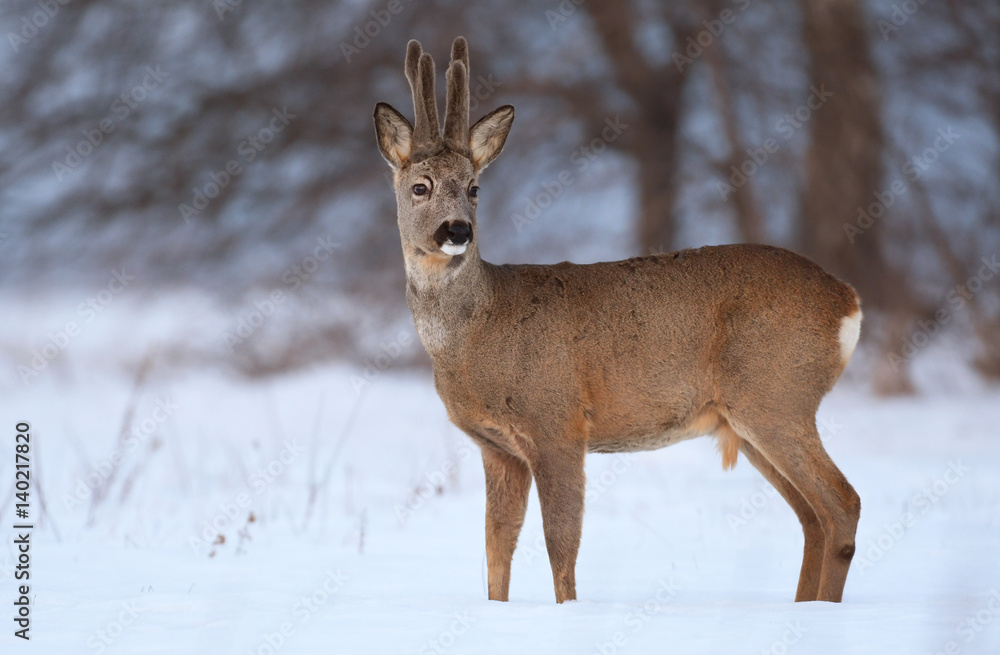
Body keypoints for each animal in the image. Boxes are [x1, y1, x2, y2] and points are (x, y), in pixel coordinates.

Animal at [373, 37, 862, 605]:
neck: (477, 332)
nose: (457, 231)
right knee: (812, 515)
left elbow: (561, 541)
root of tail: (848, 299)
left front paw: (569, 613)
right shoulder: (498, 448)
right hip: (751, 415)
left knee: (842, 502)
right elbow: (497, 547)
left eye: (474, 187)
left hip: (776, 395)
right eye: (421, 186)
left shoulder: (557, 421)